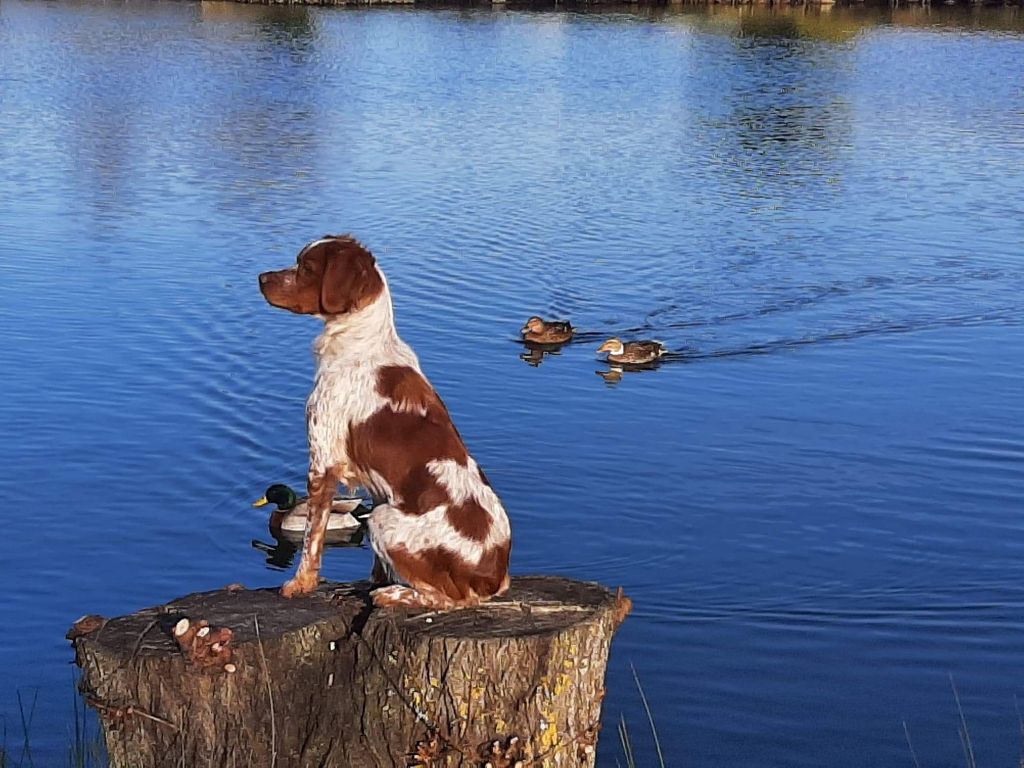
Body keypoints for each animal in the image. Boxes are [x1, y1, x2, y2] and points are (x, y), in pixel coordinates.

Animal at [258, 237, 509, 610]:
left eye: (307, 267)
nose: (261, 278)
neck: (360, 345)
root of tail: (492, 575)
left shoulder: (323, 462)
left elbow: (312, 536)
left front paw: (299, 584)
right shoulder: (377, 487)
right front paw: (372, 580)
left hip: (386, 521)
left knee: (448, 599)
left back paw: (392, 595)